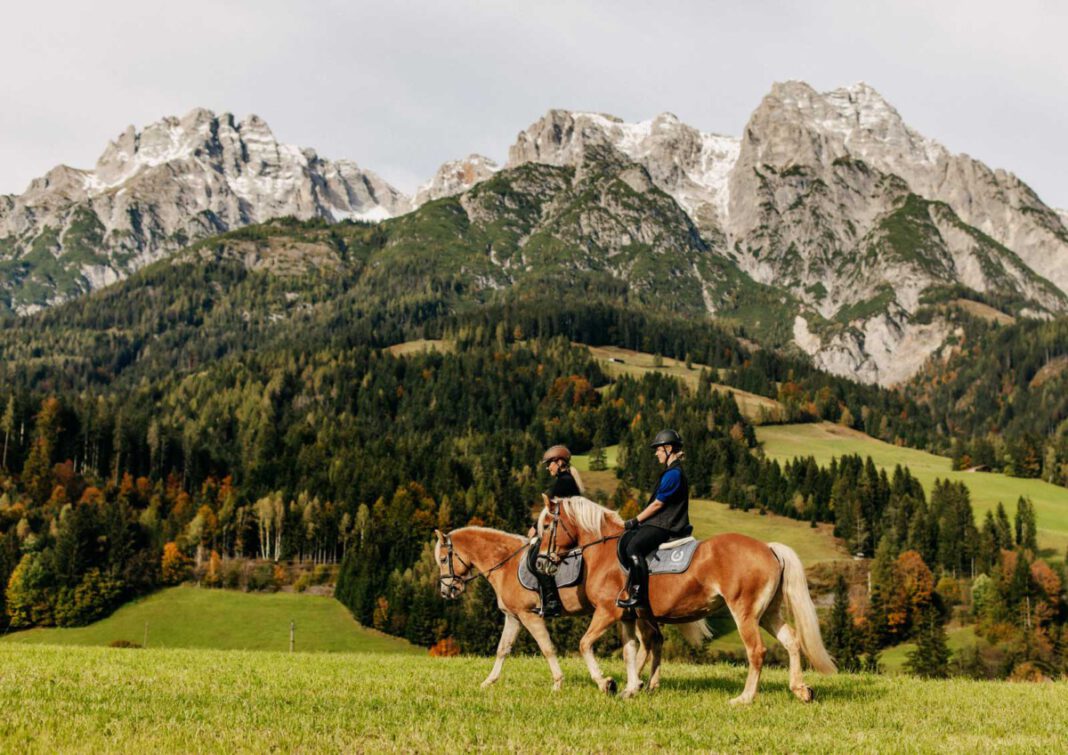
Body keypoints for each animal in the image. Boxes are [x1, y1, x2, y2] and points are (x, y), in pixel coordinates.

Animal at [429, 529, 704, 691]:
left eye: (443, 559)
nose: (446, 591)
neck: (506, 564)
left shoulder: (529, 615)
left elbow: (547, 647)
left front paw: (558, 682)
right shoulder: (513, 617)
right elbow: (502, 649)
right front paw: (489, 681)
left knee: (648, 641)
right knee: (652, 641)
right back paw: (640, 681)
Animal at [538, 499, 837, 704]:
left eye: (546, 526)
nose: (541, 561)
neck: (604, 551)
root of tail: (768, 549)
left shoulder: (607, 612)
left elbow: (585, 644)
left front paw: (606, 683)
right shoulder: (628, 616)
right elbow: (630, 652)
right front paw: (631, 688)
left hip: (745, 613)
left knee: (757, 651)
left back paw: (744, 698)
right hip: (768, 613)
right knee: (792, 641)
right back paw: (801, 690)